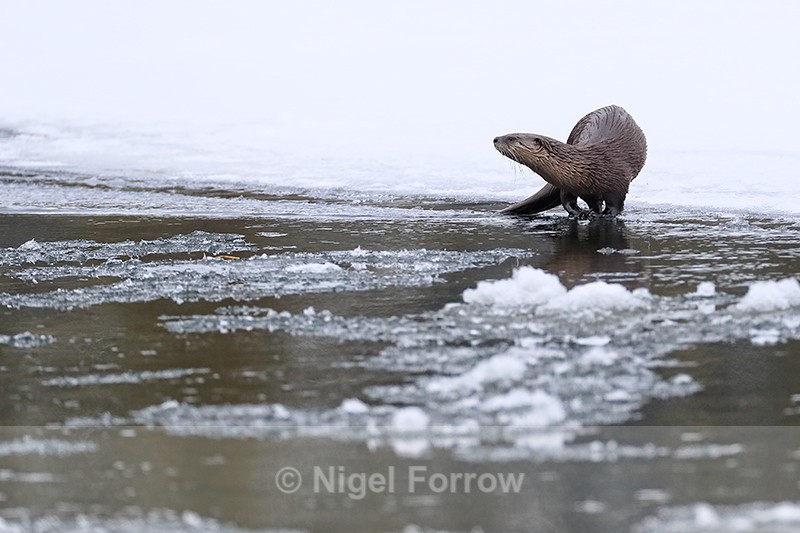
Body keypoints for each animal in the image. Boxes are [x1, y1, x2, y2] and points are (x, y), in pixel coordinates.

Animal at [493, 105, 647, 217]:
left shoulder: (618, 184)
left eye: (511, 138)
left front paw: (605, 215)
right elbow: (568, 201)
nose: (495, 138)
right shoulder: (570, 186)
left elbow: (616, 205)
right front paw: (581, 213)